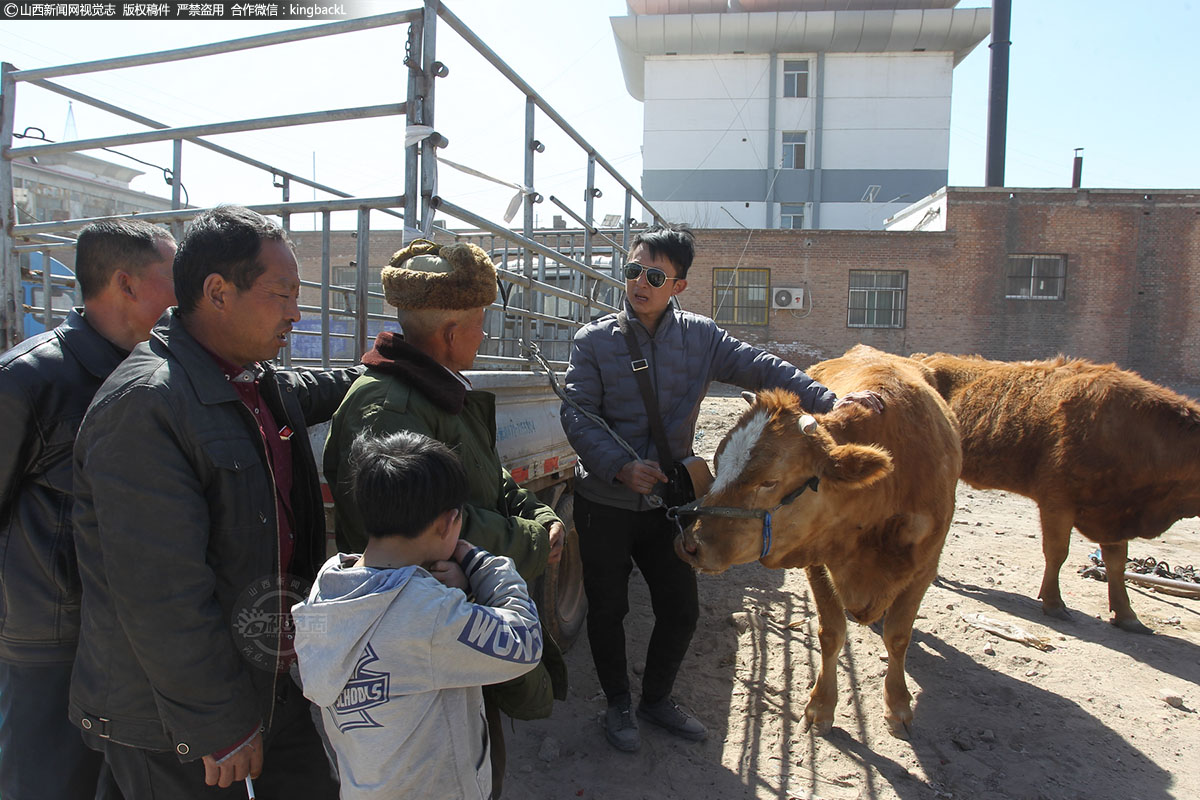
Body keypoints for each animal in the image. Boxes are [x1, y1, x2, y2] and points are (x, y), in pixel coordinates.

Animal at [681, 345, 960, 738]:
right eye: (718, 464)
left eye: (770, 481)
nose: (691, 543)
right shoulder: (817, 559)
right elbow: (831, 633)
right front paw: (821, 706)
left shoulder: (924, 567)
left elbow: (898, 637)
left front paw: (898, 706)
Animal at [912, 352, 1200, 633]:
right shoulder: (1057, 503)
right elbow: (1058, 552)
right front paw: (1054, 604)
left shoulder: (1113, 511)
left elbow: (1116, 563)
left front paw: (1127, 616)